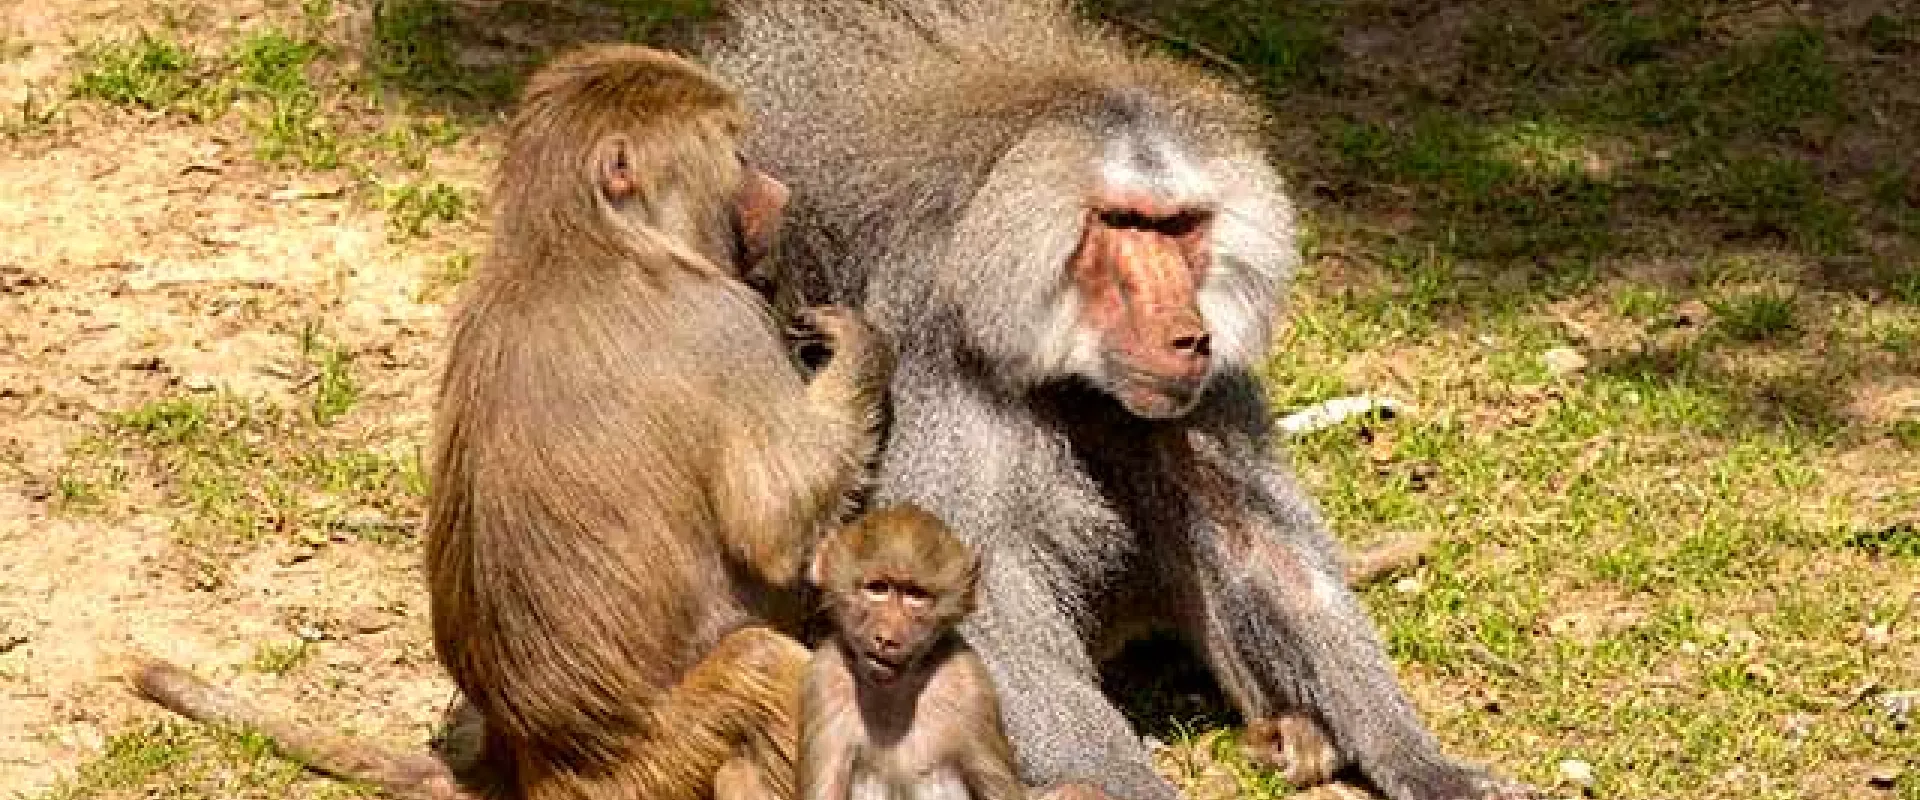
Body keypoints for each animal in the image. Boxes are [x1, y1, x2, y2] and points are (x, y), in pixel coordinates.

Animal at [421, 43, 892, 800]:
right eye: (735, 150)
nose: (780, 189)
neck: (584, 238)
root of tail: (547, 766)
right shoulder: (722, 320)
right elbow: (774, 522)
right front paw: (861, 347)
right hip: (671, 758)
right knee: (765, 665)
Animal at [705, 3, 1538, 799]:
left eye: (1181, 225)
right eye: (1123, 222)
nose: (1187, 337)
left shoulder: (1207, 395)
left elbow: (1264, 549)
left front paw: (1429, 766)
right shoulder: (934, 372)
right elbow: (983, 601)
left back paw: (1300, 736)